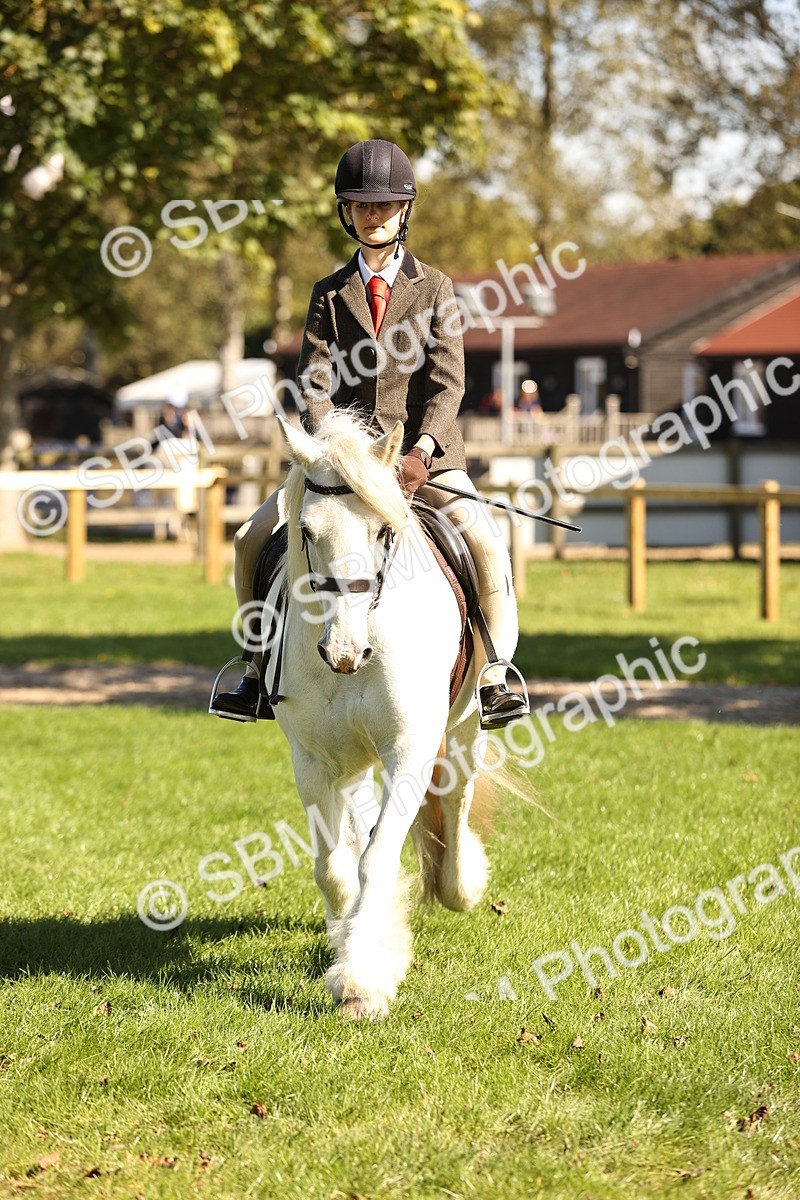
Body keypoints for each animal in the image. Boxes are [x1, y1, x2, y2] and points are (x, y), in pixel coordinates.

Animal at [268, 410, 492, 1020]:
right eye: (306, 532)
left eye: (382, 532)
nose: (344, 652)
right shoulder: (312, 759)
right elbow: (334, 866)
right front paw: (354, 943)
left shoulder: (409, 750)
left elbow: (377, 857)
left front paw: (361, 981)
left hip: (467, 724)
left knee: (457, 796)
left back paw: (461, 884)